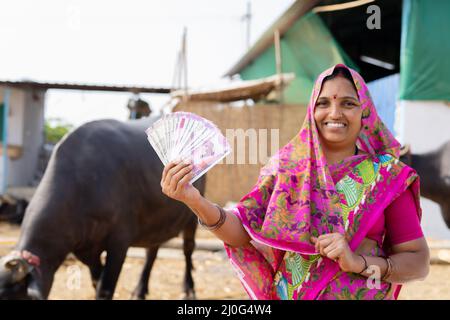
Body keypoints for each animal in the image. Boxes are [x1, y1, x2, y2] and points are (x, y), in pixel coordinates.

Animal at [0, 117, 206, 300]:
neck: (82, 185)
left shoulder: (119, 243)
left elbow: (105, 288)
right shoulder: (86, 250)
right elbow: (96, 282)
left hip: (191, 219)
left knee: (188, 250)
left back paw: (189, 289)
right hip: (156, 224)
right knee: (151, 253)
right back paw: (140, 291)